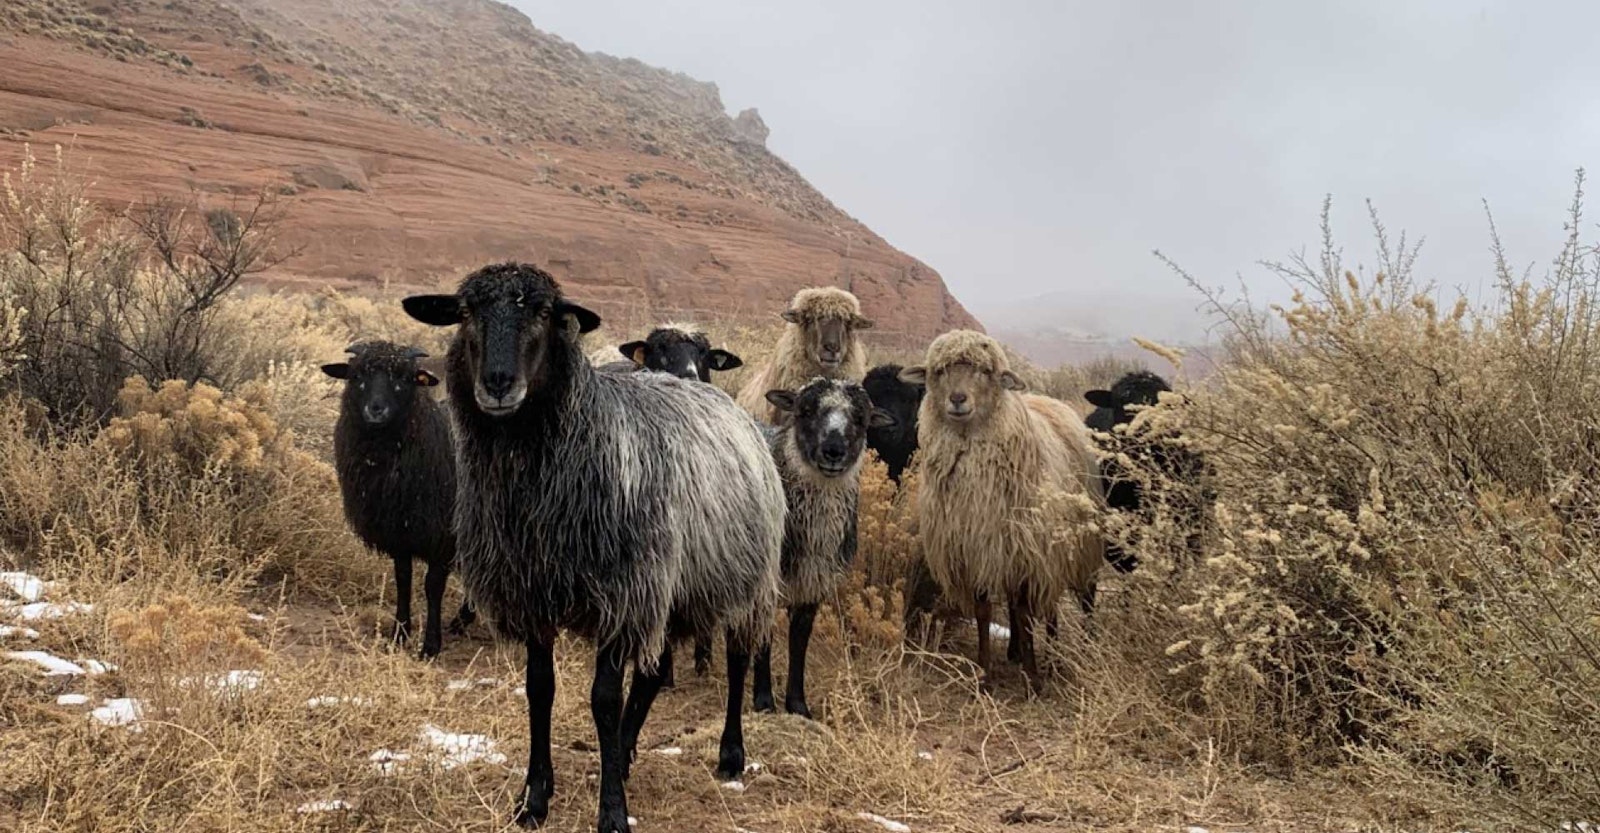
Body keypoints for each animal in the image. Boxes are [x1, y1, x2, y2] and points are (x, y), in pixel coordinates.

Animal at [321, 341, 474, 660]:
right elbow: (403, 579)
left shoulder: (442, 537)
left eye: (404, 378)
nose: (376, 410)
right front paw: (399, 634)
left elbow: (432, 587)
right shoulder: (398, 534)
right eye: (357, 375)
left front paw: (430, 646)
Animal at [402, 263, 784, 833]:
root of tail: (724, 401)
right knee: (652, 675)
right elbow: (540, 689)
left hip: (744, 580)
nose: (497, 383)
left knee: (738, 659)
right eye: (465, 312)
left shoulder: (621, 595)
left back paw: (730, 754)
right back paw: (623, 753)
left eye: (544, 312)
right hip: (669, 587)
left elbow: (603, 699)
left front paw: (612, 812)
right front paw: (534, 799)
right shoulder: (535, 594)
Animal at [751, 377, 893, 717]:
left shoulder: (812, 585)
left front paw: (797, 705)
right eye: (804, 411)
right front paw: (763, 701)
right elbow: (764, 640)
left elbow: (799, 644)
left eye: (861, 419)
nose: (833, 451)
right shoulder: (767, 584)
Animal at [900, 330, 1104, 679]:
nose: (957, 399)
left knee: (1080, 597)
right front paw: (985, 673)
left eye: (985, 371)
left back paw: (1075, 648)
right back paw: (1017, 651)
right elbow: (984, 612)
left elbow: (1023, 612)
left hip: (1076, 543)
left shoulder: (1029, 552)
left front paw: (1033, 678)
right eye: (938, 371)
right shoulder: (976, 549)